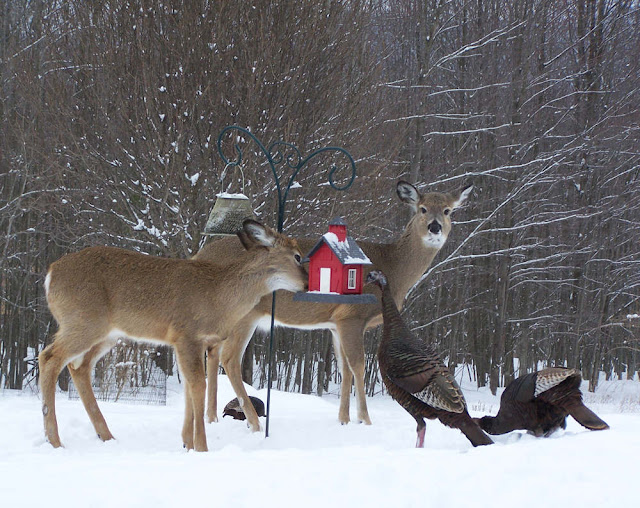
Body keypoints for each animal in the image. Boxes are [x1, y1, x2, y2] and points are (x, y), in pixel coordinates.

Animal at [38, 220, 308, 450]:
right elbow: (198, 384)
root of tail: (50, 273)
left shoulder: (187, 342)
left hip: (107, 333)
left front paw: (187, 443)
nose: (307, 284)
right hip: (84, 322)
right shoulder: (187, 334)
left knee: (78, 366)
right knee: (49, 358)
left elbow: (189, 385)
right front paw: (201, 447)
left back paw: (106, 436)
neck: (219, 296)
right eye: (297, 256)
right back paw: (55, 440)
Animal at [195, 181, 470, 430]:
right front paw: (365, 420)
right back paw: (253, 423)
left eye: (448, 210)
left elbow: (344, 367)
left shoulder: (336, 324)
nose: (435, 227)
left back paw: (212, 418)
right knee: (229, 358)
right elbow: (358, 366)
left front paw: (344, 419)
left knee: (213, 353)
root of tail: (198, 256)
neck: (394, 268)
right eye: (422, 209)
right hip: (245, 314)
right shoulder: (352, 316)